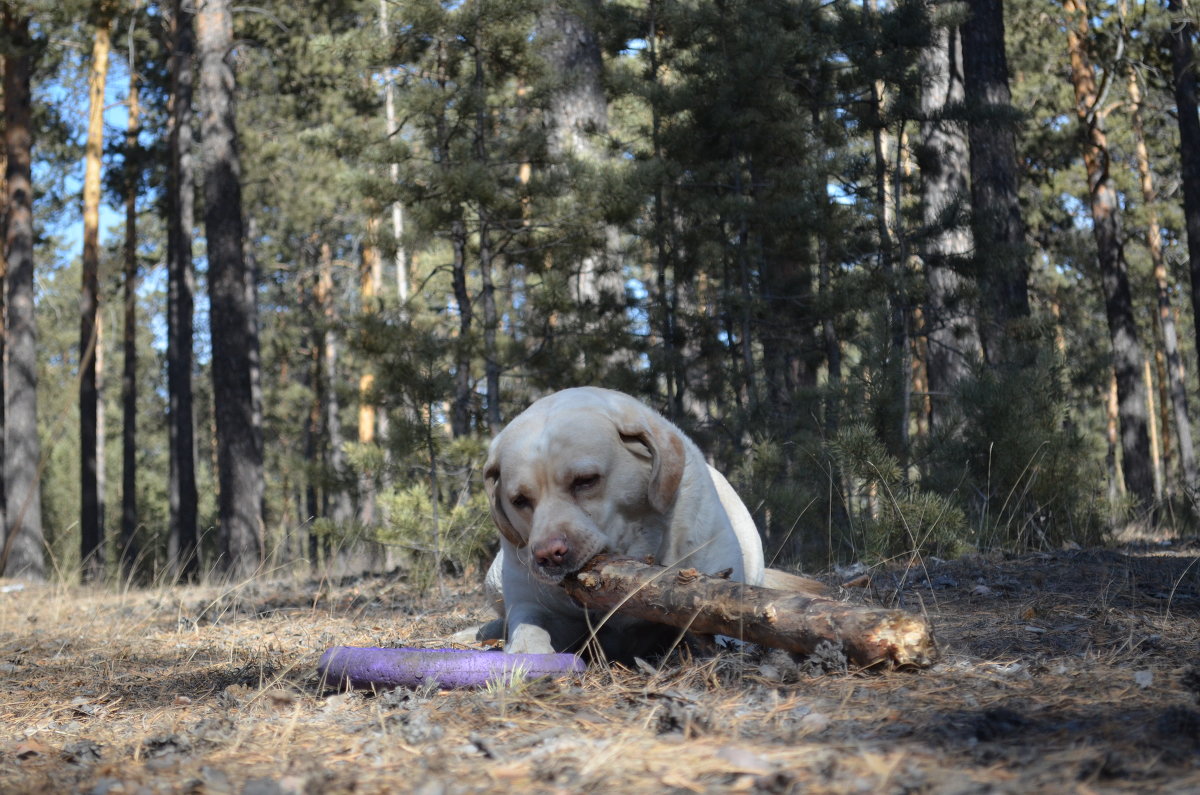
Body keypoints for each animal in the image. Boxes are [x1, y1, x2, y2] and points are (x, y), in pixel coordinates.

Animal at [484, 386, 768, 658]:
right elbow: (528, 626)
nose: (548, 556)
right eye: (519, 500)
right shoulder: (530, 601)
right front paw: (524, 651)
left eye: (586, 480)